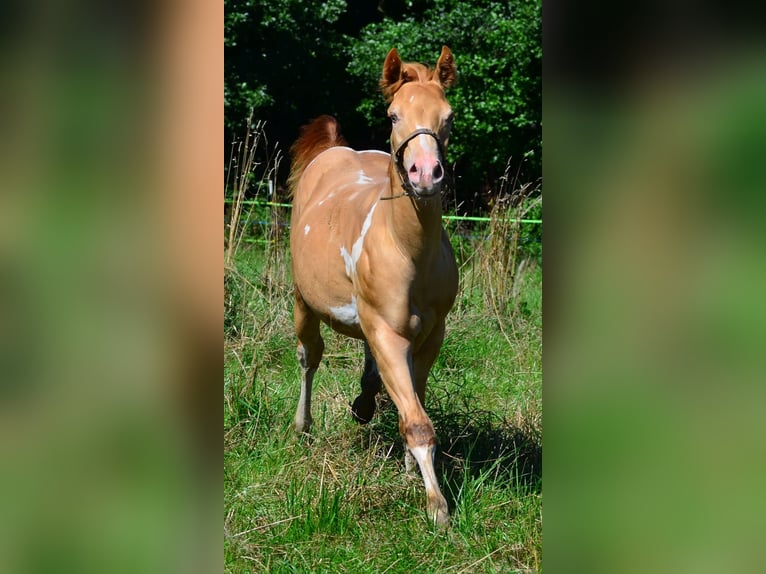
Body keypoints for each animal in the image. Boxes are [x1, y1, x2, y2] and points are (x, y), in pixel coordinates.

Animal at [287, 46, 459, 526]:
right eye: (393, 114)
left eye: (448, 117)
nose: (426, 174)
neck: (407, 250)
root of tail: (333, 151)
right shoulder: (387, 331)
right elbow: (417, 421)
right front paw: (437, 508)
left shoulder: (429, 336)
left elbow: (414, 402)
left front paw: (409, 467)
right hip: (304, 302)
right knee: (309, 357)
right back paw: (302, 425)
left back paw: (363, 404)